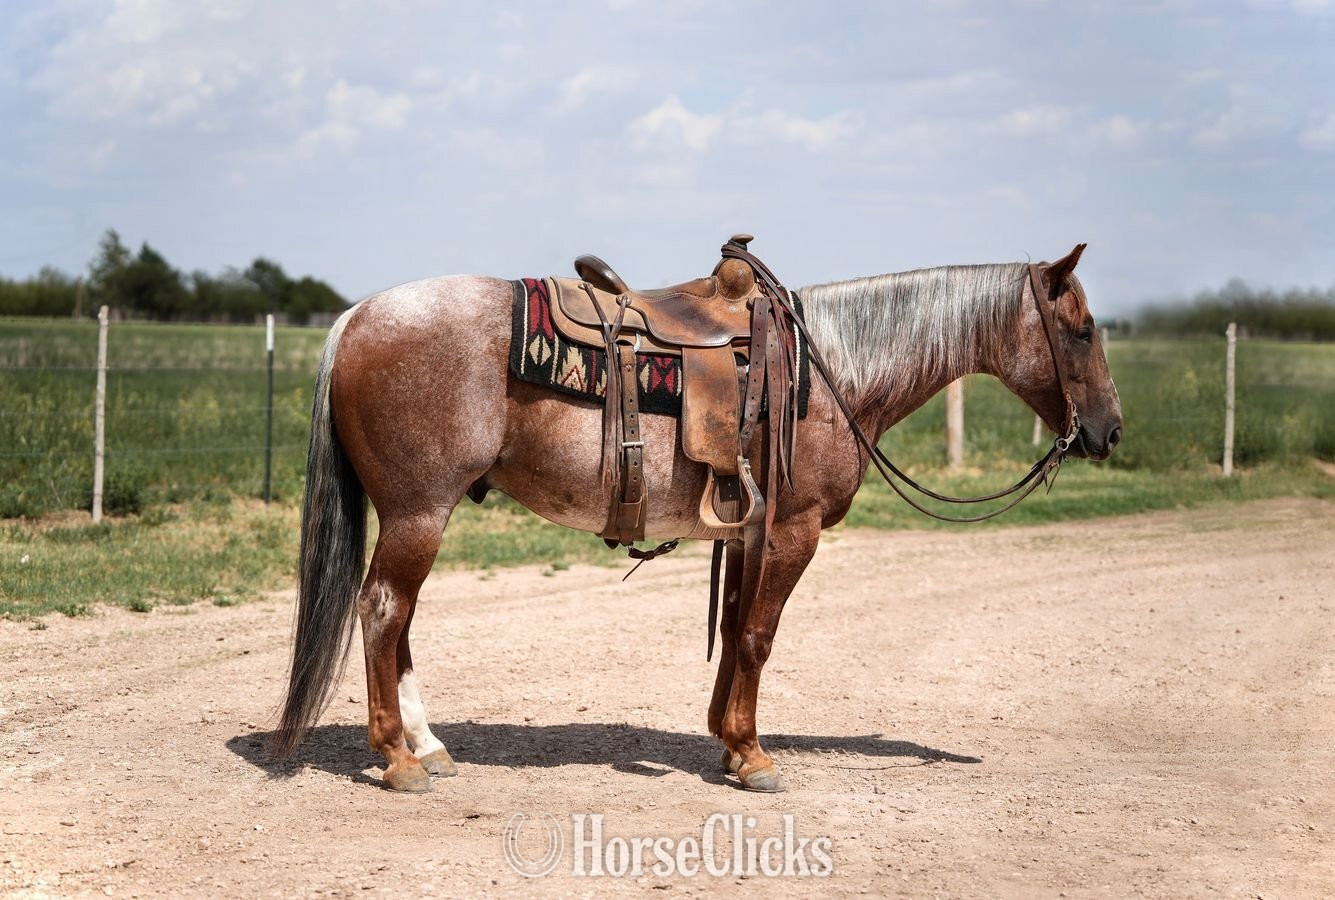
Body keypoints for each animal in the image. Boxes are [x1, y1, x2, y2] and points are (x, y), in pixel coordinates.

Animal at [273, 242, 1123, 793]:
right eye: (1080, 330)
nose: (1108, 432)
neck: (829, 373)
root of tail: (356, 317)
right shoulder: (792, 530)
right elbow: (757, 635)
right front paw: (752, 756)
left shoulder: (748, 531)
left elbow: (738, 627)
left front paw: (726, 739)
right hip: (420, 511)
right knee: (384, 610)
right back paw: (398, 759)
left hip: (417, 515)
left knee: (399, 620)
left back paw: (430, 745)